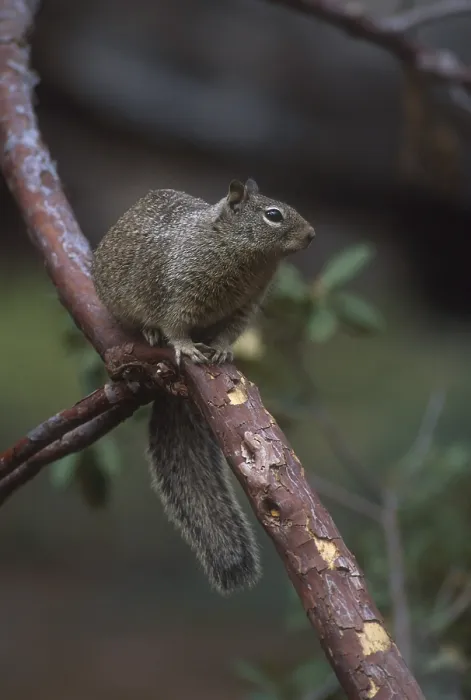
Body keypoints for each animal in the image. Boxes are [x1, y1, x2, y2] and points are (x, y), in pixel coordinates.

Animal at [92, 178, 315, 595]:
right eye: (273, 215)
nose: (311, 235)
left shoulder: (244, 307)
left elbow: (228, 334)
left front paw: (223, 350)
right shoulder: (180, 292)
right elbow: (175, 324)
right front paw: (183, 346)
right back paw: (151, 334)